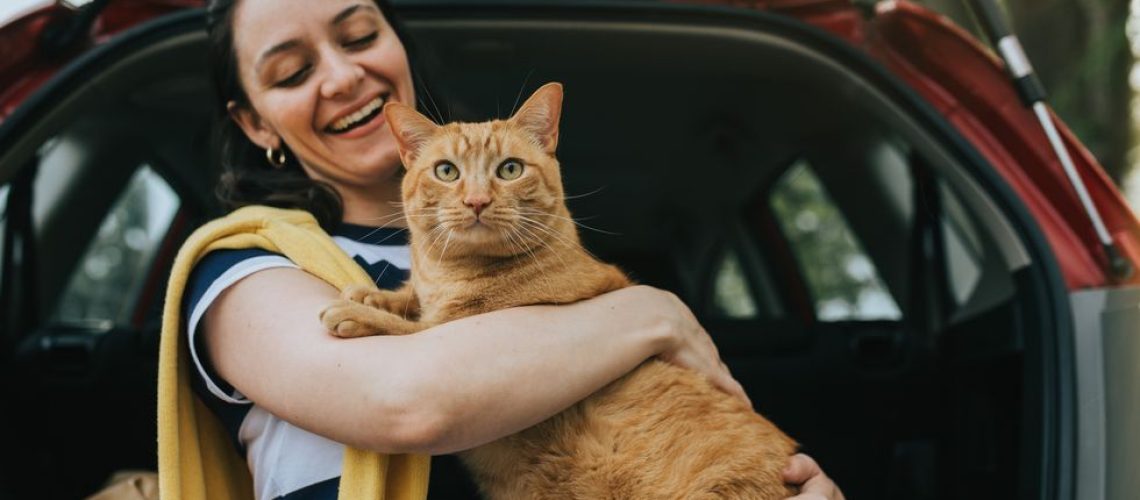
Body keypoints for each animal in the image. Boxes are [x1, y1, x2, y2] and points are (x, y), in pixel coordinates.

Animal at [319, 83, 802, 500]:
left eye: (509, 169)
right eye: (446, 171)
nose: (476, 201)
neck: (447, 273)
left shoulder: (467, 331)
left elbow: (415, 329)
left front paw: (359, 313)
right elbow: (412, 299)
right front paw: (376, 295)